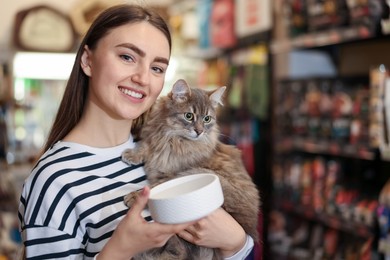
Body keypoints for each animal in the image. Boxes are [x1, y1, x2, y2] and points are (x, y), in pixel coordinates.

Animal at [122, 79, 258, 260]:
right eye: (189, 116)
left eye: (207, 119)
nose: (199, 131)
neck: (174, 141)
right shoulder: (154, 138)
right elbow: (145, 146)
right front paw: (132, 155)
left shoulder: (174, 174)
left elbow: (154, 188)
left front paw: (134, 196)